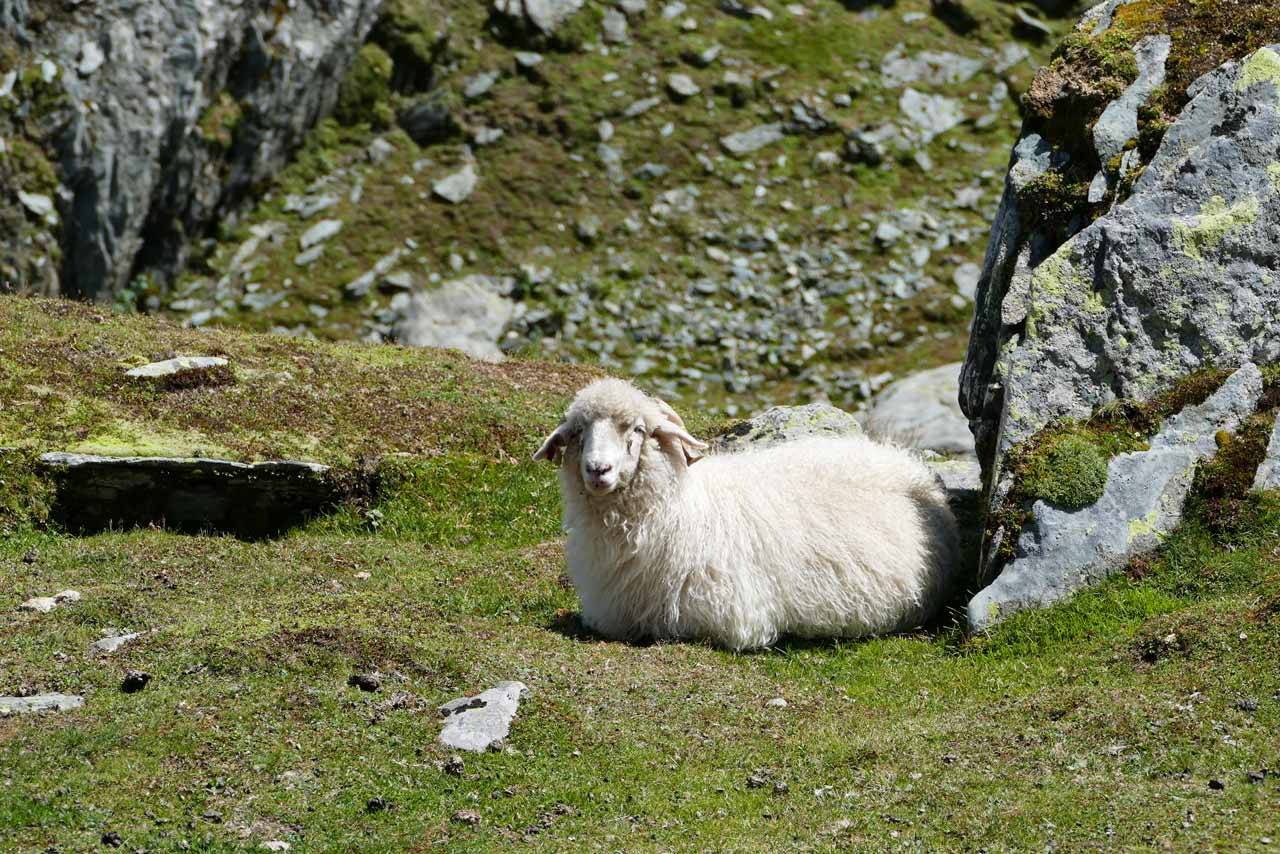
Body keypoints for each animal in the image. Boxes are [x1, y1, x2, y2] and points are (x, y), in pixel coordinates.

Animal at [533, 378, 961, 651]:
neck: (681, 513)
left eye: (636, 429)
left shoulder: (729, 616)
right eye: (578, 432)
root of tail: (908, 465)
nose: (597, 470)